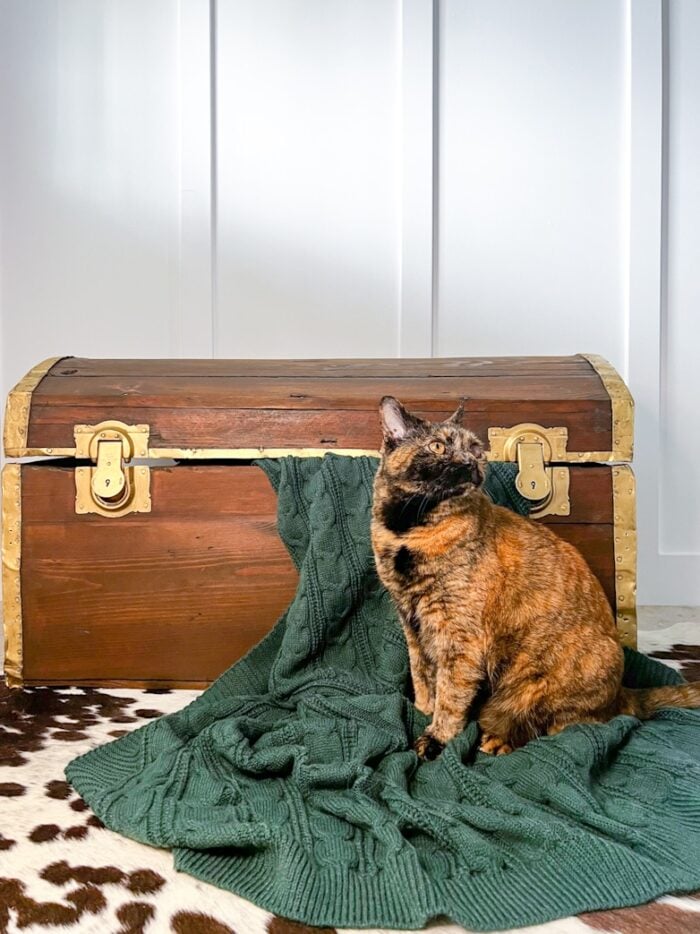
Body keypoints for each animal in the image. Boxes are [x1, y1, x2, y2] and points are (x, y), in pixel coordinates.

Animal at [372, 394, 700, 760]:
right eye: (438, 446)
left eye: (476, 449)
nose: (471, 463)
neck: (408, 531)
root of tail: (621, 693)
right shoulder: (412, 624)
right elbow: (422, 675)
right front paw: (422, 709)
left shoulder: (458, 636)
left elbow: (451, 694)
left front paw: (436, 737)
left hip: (540, 680)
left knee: (560, 725)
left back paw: (497, 741)